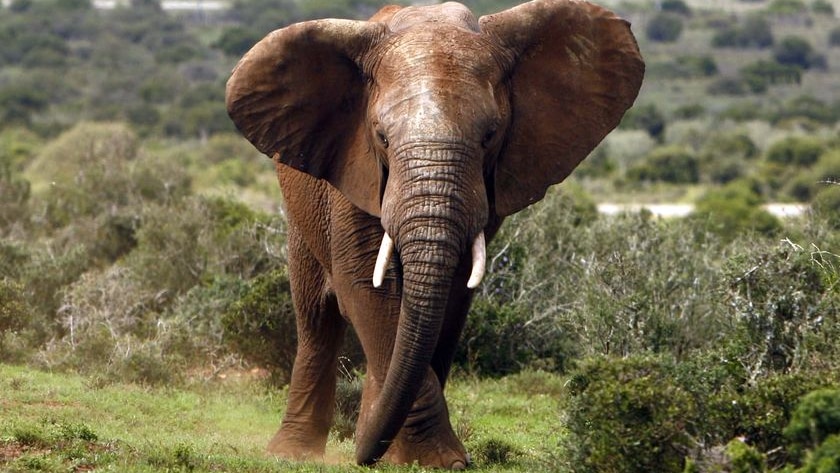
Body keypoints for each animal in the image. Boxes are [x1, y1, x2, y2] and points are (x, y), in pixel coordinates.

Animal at [223, 0, 644, 464]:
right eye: (381, 137)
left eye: (490, 135)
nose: (362, 457)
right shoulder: (353, 170)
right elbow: (366, 287)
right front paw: (432, 459)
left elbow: (451, 296)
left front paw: (419, 458)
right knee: (317, 319)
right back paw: (294, 454)